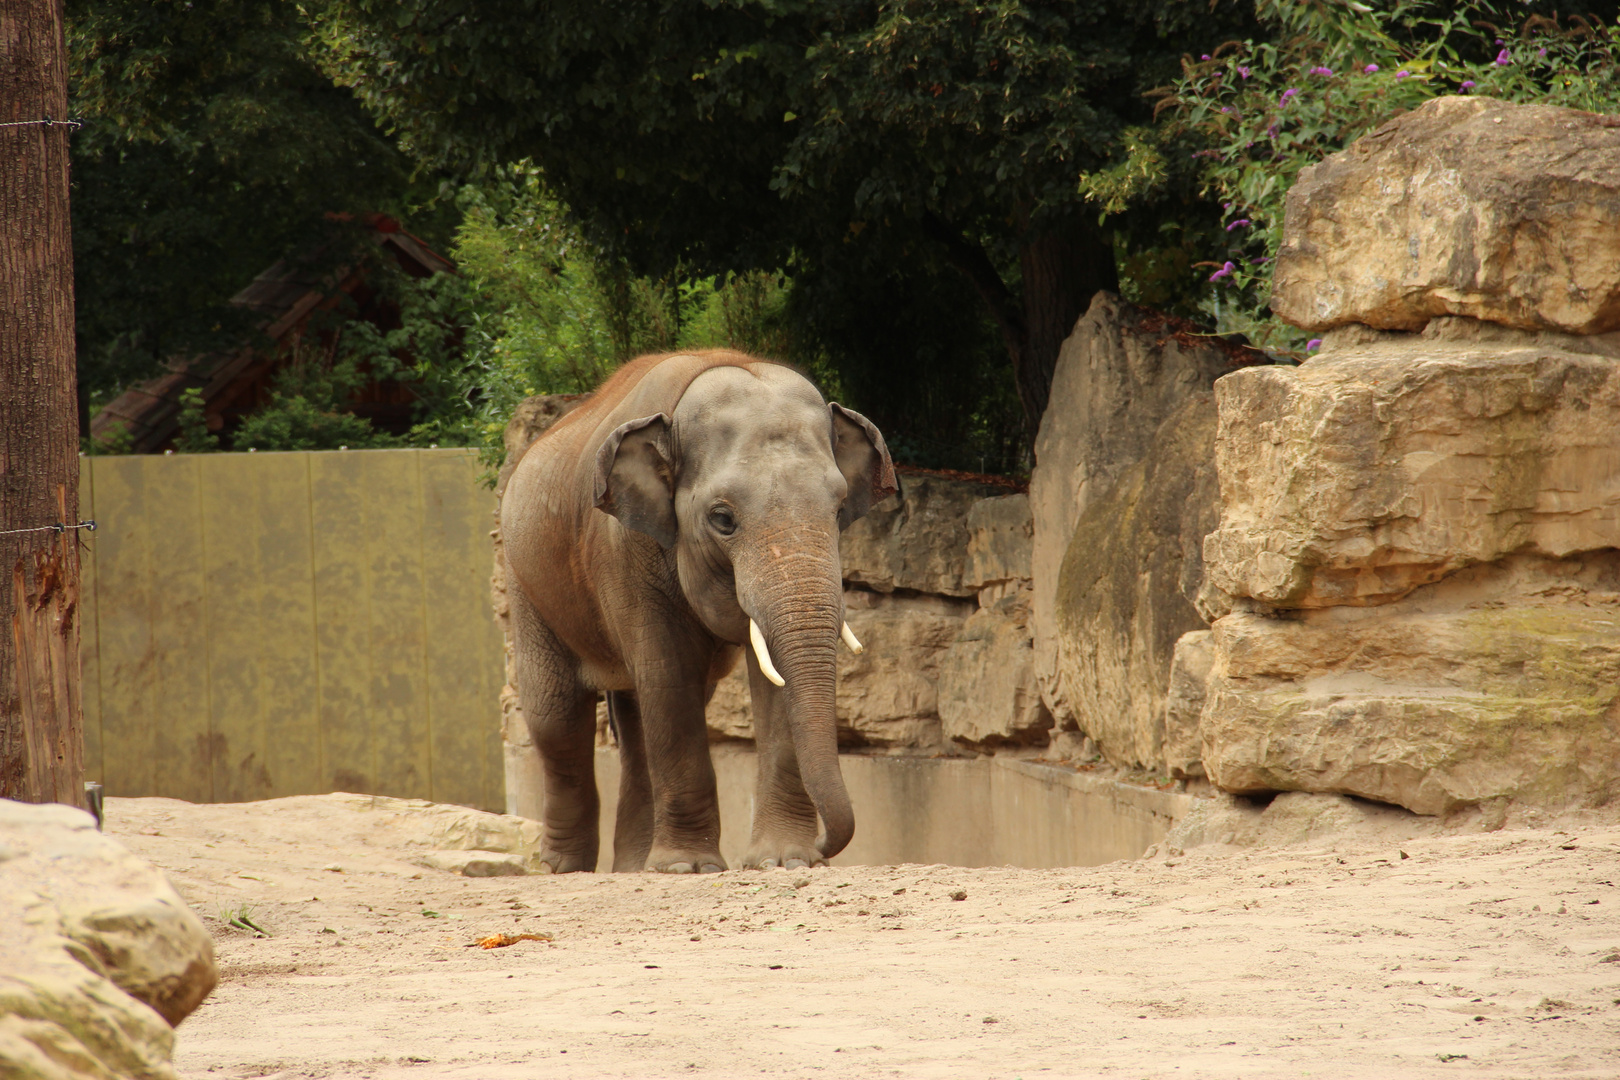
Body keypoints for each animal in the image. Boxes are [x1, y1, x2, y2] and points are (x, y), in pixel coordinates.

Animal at [495, 351, 894, 874]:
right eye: (722, 519)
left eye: (841, 507)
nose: (827, 846)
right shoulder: (626, 549)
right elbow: (670, 674)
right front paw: (689, 868)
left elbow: (770, 682)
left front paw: (784, 862)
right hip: (527, 584)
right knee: (557, 720)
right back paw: (565, 869)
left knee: (636, 724)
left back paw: (633, 867)